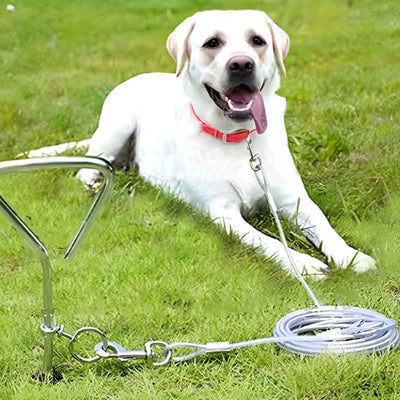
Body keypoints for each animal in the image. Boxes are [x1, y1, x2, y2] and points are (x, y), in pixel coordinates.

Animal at [25, 10, 376, 278]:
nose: (241, 64)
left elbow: (324, 225)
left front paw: (351, 256)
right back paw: (94, 184)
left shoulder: (294, 200)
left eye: (258, 41)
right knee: (90, 166)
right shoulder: (223, 214)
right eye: (212, 43)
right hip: (116, 124)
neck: (240, 139)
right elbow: (269, 242)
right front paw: (303, 264)